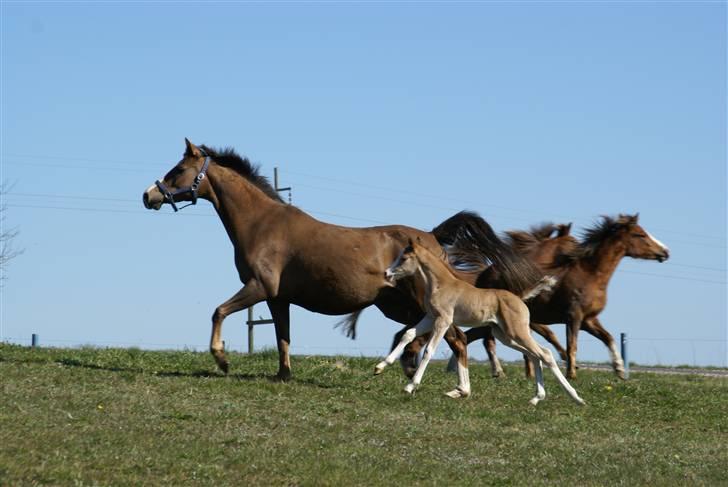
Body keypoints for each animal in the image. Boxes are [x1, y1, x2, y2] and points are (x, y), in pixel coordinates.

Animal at [144, 140, 540, 382]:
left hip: (417, 304)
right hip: (396, 305)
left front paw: (222, 359)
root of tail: (431, 236)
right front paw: (283, 375)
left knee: (454, 339)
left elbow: (219, 312)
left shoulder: (258, 288)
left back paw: (443, 383)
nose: (149, 196)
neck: (262, 224)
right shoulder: (277, 299)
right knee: (427, 335)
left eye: (177, 170)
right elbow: (283, 336)